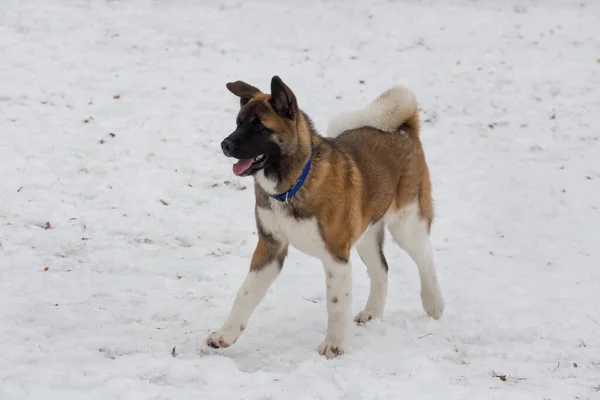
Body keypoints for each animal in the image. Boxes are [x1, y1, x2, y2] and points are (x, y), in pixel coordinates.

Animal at [207, 76, 446, 360]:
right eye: (238, 123)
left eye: (259, 127)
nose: (225, 144)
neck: (292, 185)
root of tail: (404, 130)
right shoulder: (270, 246)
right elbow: (245, 292)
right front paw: (225, 335)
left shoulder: (336, 255)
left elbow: (335, 303)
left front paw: (334, 344)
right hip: (367, 233)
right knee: (381, 269)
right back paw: (373, 313)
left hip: (406, 224)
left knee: (426, 259)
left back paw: (434, 304)